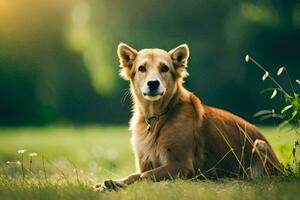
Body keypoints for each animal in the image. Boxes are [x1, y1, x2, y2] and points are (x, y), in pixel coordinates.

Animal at [98, 43, 282, 190]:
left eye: (164, 68)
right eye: (141, 68)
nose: (153, 83)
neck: (157, 117)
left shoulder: (182, 166)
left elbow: (145, 175)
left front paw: (116, 184)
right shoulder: (144, 162)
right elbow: (136, 174)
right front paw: (113, 183)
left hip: (259, 145)